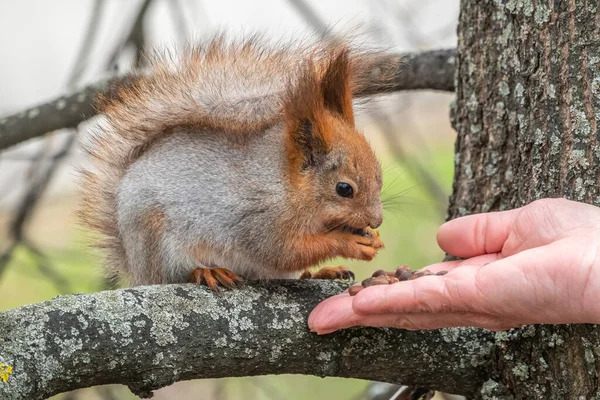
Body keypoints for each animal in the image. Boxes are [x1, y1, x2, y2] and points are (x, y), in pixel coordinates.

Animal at [79, 36, 386, 290]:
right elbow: (283, 252)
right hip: (159, 243)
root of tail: (137, 269)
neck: (285, 183)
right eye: (344, 189)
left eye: (379, 176)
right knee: (175, 275)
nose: (377, 220)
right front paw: (350, 242)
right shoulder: (259, 219)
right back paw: (207, 272)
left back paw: (319, 274)